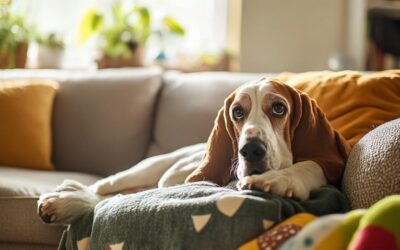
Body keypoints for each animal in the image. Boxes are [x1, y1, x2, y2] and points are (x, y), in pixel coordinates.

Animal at [38, 77, 350, 225]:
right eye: (237, 112)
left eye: (279, 108)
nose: (250, 150)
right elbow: (113, 198)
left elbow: (311, 165)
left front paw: (281, 179)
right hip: (144, 170)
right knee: (106, 188)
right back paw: (68, 196)